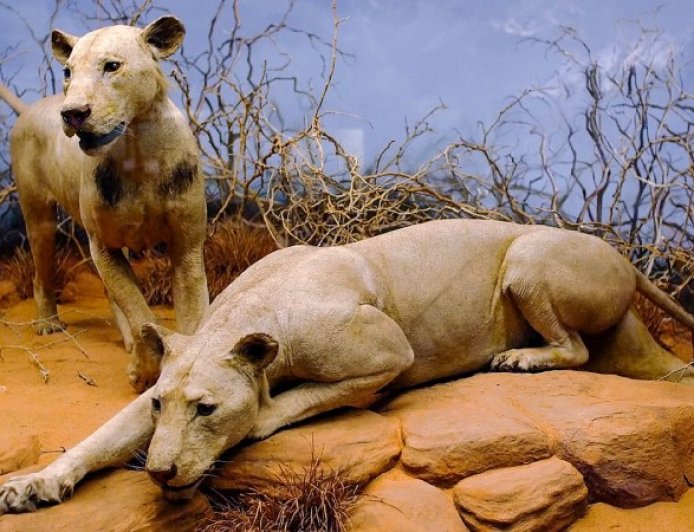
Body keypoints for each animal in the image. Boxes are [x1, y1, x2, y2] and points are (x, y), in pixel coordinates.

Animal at [0, 17, 208, 392]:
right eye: (67, 72)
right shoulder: (102, 246)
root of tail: (30, 108)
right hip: (38, 213)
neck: (138, 151)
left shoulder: (187, 245)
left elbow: (192, 313)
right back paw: (48, 323)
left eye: (111, 66)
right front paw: (143, 370)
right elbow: (139, 311)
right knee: (42, 269)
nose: (72, 114)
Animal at [1, 219, 693, 512]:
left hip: (528, 259)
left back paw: (520, 357)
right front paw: (34, 485)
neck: (245, 316)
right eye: (157, 403)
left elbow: (294, 400)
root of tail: (625, 258)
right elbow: (98, 440)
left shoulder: (389, 352)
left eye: (208, 409)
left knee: (576, 349)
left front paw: (260, 415)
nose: (162, 473)